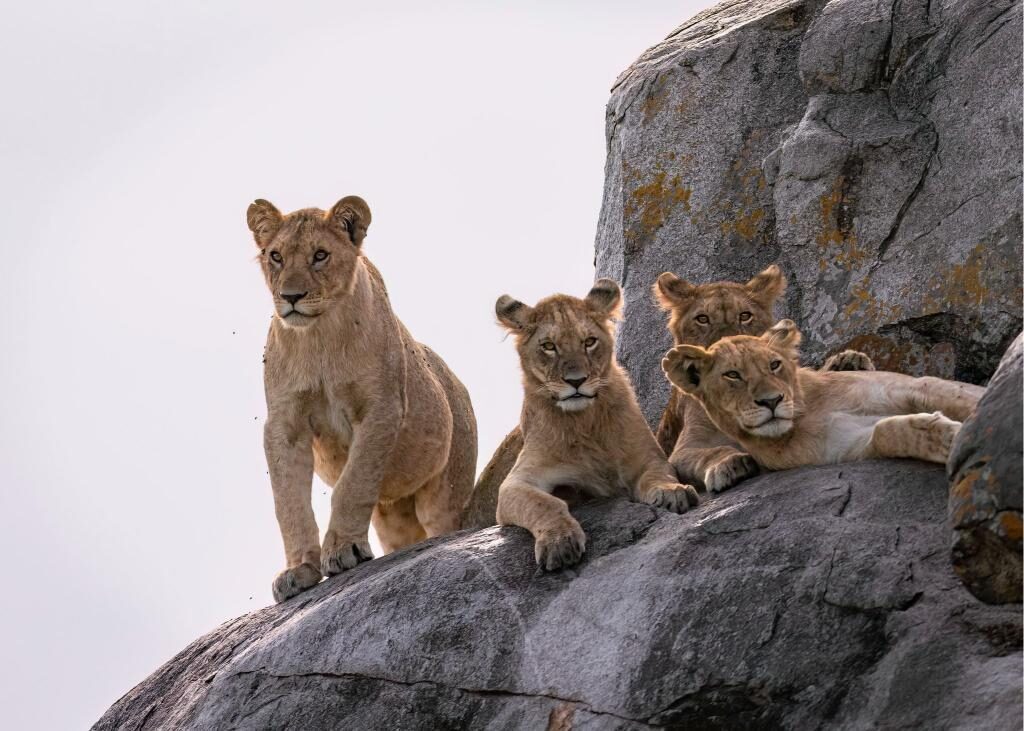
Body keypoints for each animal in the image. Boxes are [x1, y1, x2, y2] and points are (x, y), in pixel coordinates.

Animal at [246, 197, 495, 602]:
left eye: (320, 255)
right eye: (276, 256)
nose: (291, 297)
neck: (319, 336)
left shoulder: (382, 407)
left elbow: (353, 484)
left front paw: (343, 551)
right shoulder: (284, 424)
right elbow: (289, 502)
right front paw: (298, 571)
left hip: (445, 491)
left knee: (443, 523)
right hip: (393, 517)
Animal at [493, 279, 699, 570]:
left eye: (589, 342)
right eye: (548, 346)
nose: (576, 381)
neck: (584, 421)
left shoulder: (649, 457)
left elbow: (658, 476)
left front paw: (673, 492)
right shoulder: (516, 482)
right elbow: (543, 502)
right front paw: (559, 541)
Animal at [653, 265, 873, 493]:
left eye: (745, 316)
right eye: (702, 318)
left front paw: (847, 362)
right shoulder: (682, 450)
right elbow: (709, 452)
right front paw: (728, 464)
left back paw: (850, 362)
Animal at [661, 320, 984, 471]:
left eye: (774, 365)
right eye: (732, 375)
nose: (771, 401)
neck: (806, 415)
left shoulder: (907, 386)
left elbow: (962, 398)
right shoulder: (849, 444)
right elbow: (887, 433)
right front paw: (950, 437)